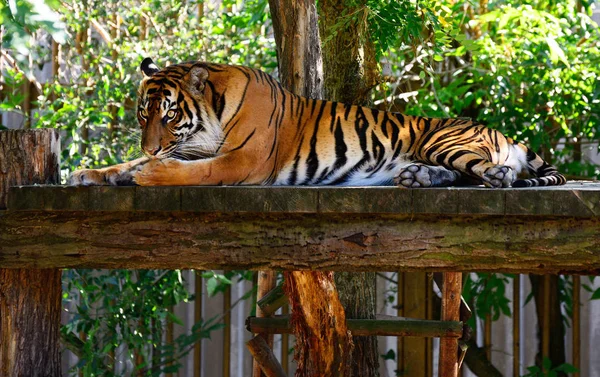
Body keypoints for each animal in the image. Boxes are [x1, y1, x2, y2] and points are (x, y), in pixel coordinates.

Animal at [68, 57, 564, 188]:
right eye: (142, 114)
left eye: (170, 114)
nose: (152, 147)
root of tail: (503, 133)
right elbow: (122, 165)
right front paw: (90, 173)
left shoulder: (243, 161)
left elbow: (198, 173)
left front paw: (151, 173)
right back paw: (417, 178)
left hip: (447, 141)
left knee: (495, 172)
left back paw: (494, 176)